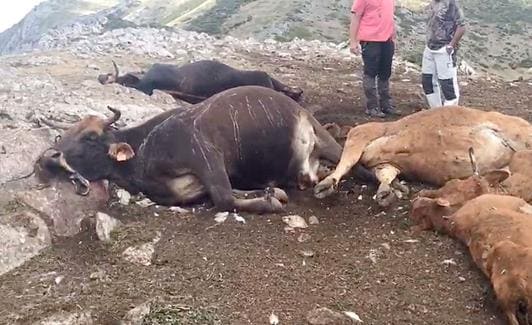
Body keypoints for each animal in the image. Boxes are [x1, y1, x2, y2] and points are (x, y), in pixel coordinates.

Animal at [35, 85, 374, 214]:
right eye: (64, 135)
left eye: (90, 137)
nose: (48, 156)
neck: (142, 153)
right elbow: (228, 195)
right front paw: (268, 192)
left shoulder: (205, 155)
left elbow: (225, 199)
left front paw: (270, 201)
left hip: (323, 137)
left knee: (356, 166)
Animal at [312, 107, 532, 208]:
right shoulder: (386, 163)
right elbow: (385, 175)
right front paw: (386, 192)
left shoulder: (362, 133)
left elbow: (347, 160)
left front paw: (326, 184)